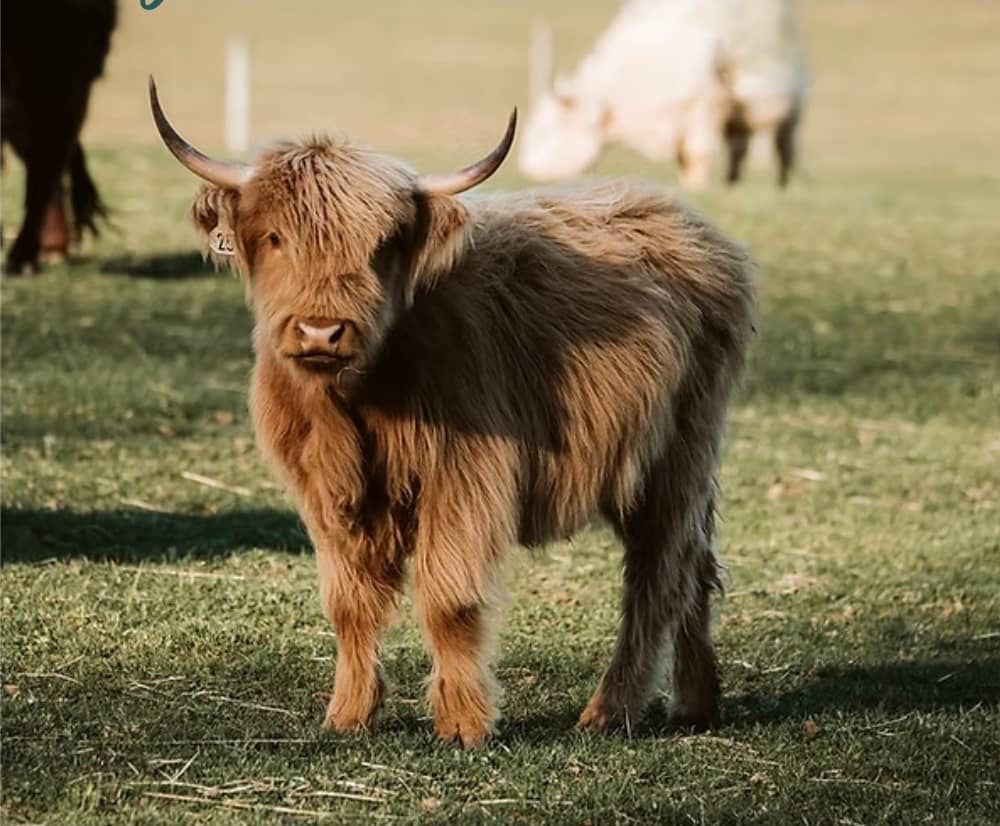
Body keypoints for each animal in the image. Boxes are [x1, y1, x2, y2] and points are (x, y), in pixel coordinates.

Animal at [149, 76, 755, 746]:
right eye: (276, 237)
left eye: (381, 246)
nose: (320, 331)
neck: (356, 403)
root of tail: (687, 223)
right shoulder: (322, 493)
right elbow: (349, 604)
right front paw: (348, 714)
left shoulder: (464, 478)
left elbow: (449, 599)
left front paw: (464, 724)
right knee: (695, 565)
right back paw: (696, 703)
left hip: (674, 456)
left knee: (659, 573)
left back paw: (608, 711)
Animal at [519, 0, 808, 189]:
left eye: (548, 129)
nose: (527, 169)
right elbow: (686, 159)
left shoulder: (705, 103)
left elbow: (699, 153)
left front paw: (696, 187)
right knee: (740, 147)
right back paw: (732, 182)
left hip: (791, 103)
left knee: (785, 145)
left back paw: (783, 183)